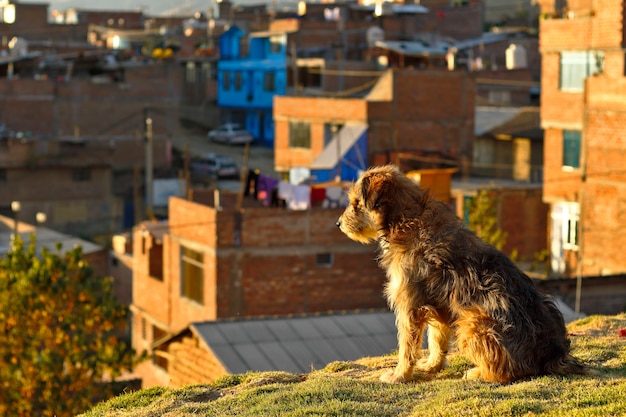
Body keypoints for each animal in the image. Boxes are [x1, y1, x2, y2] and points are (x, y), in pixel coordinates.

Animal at [334, 164, 588, 382]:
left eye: (356, 203)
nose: (338, 224)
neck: (407, 218)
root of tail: (553, 355)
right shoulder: (438, 305)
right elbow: (436, 339)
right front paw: (432, 366)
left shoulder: (410, 304)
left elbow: (407, 346)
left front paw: (400, 376)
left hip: (471, 322)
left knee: (508, 371)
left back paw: (479, 372)